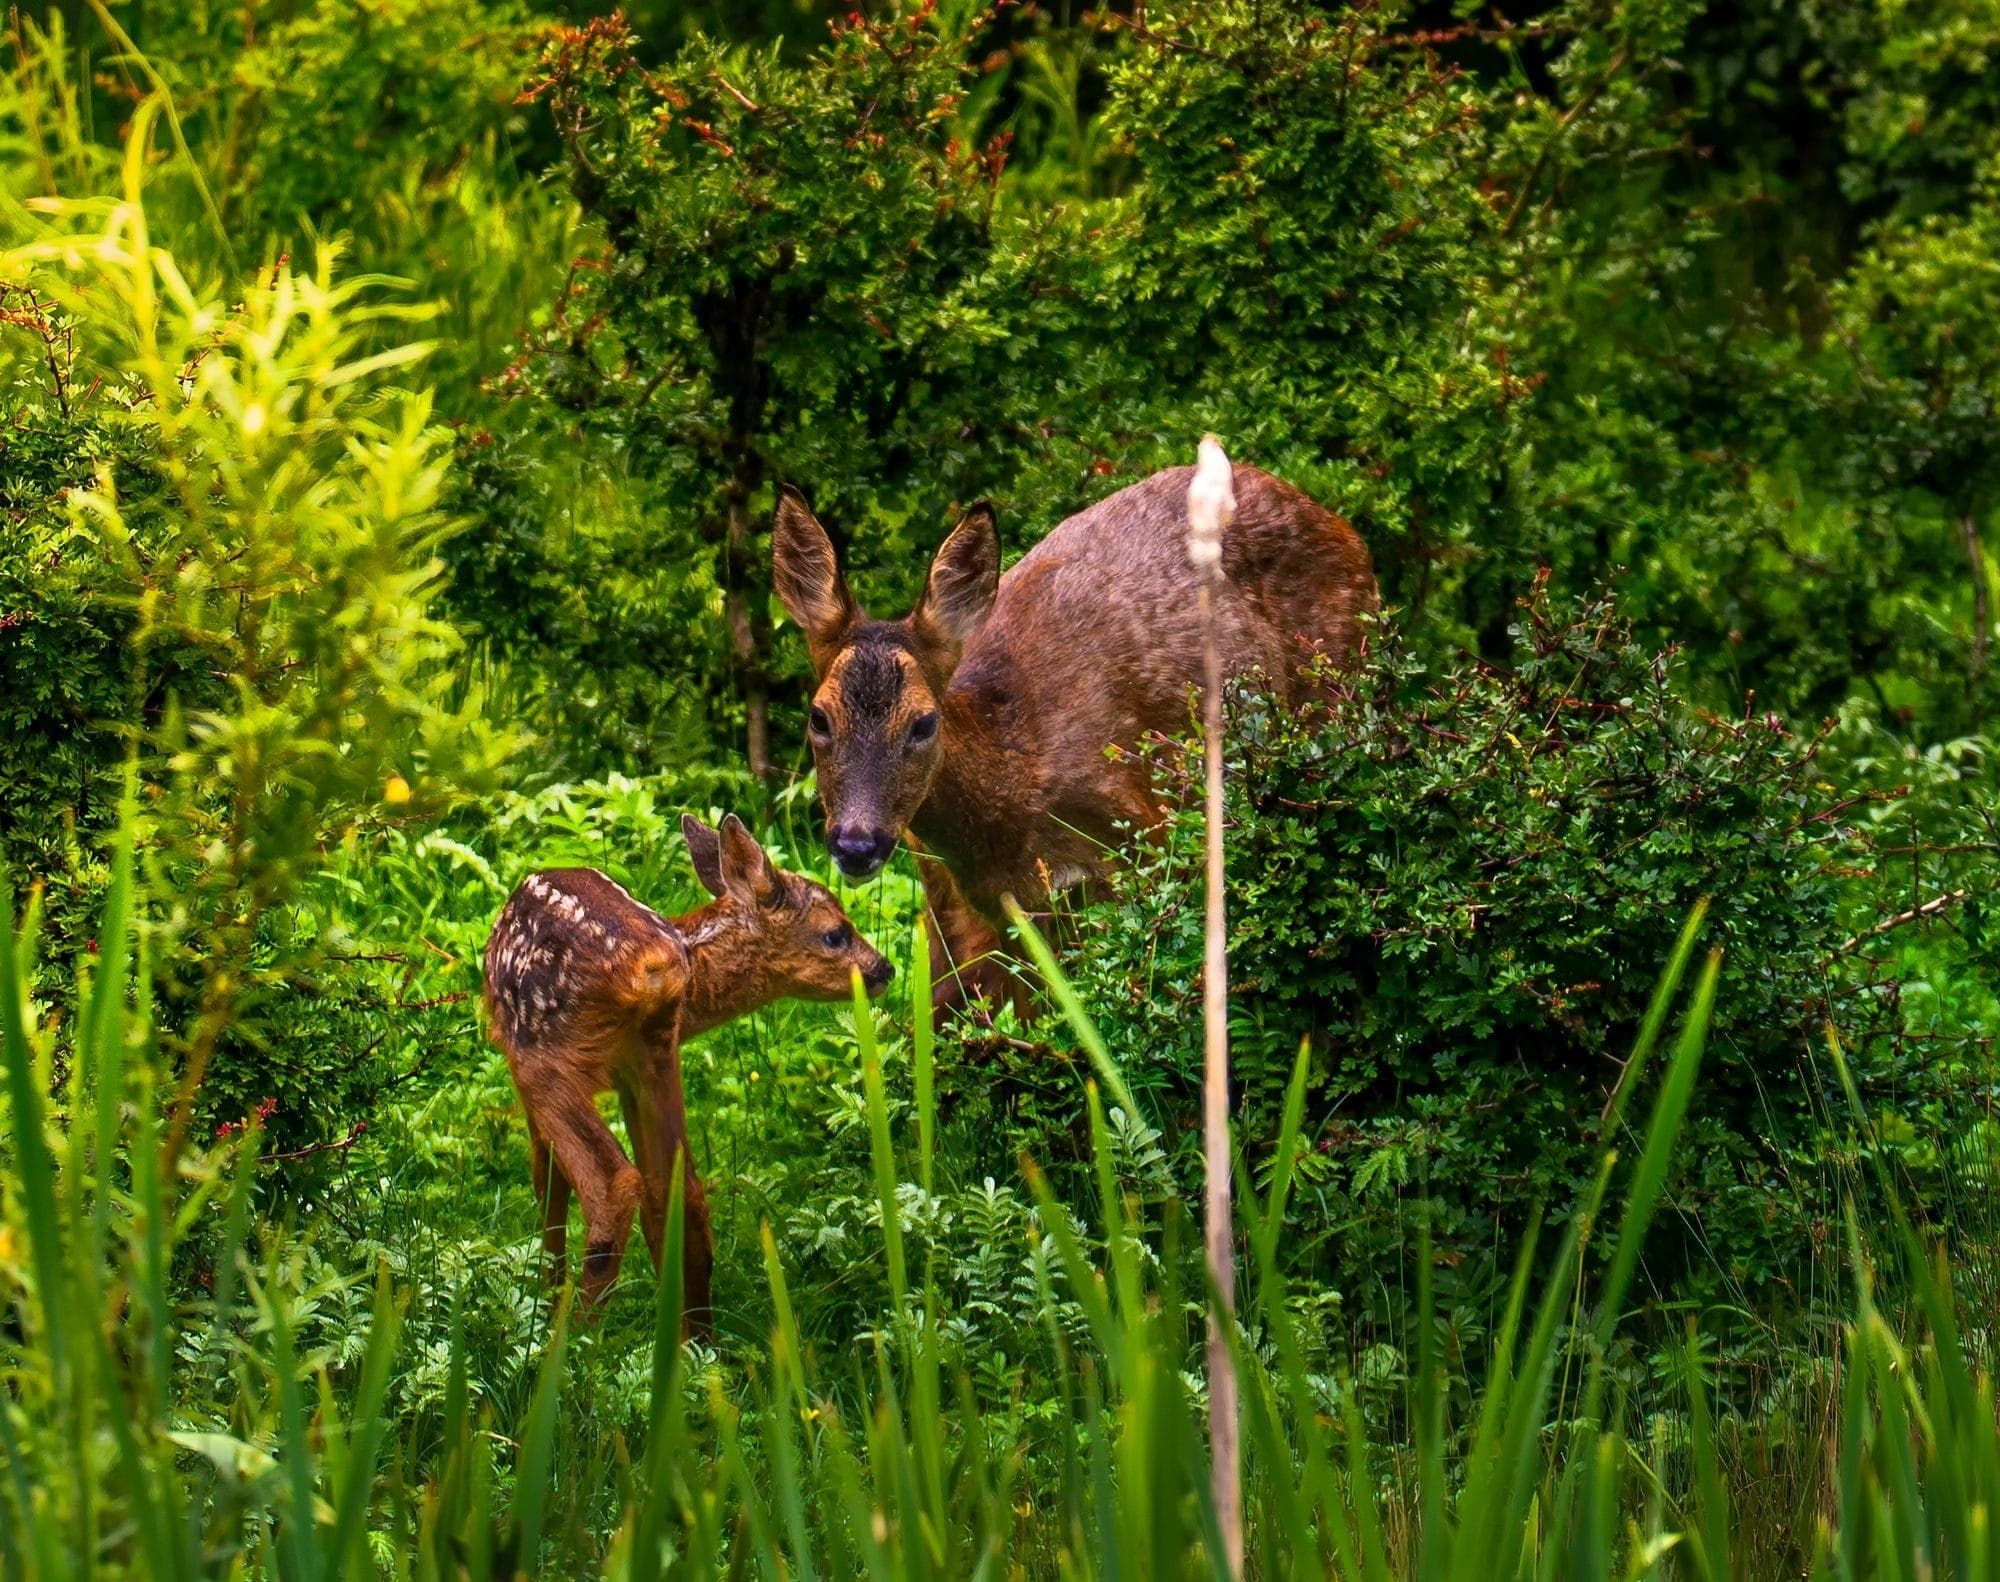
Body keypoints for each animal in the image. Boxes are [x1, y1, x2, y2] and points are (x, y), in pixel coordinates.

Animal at [482, 813, 893, 1325]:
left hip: (543, 1056)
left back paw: (574, 1336)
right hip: (649, 1055)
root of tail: (652, 966)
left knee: (612, 1183)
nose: (884, 968)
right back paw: (693, 1338)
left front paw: (545, 1295)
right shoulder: (647, 1062)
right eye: (836, 933)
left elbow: (547, 1179)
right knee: (681, 1191)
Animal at [772, 459, 1377, 1010]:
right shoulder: (951, 901)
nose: (856, 844)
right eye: (818, 717)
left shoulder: (1138, 849)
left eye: (924, 722)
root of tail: (1345, 529)